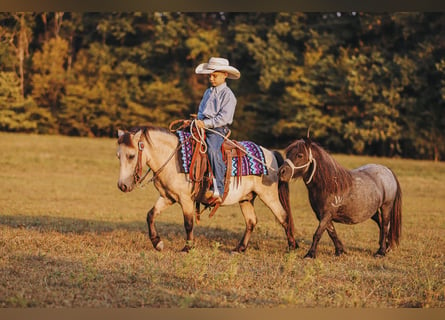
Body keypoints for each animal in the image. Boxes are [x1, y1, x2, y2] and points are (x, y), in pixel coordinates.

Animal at [116, 125, 296, 252]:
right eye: (118, 156)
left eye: (131, 155)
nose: (122, 185)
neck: (173, 158)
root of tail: (270, 153)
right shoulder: (168, 197)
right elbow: (150, 215)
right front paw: (157, 243)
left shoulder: (186, 199)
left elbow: (188, 223)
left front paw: (188, 247)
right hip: (246, 198)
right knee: (251, 221)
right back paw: (240, 248)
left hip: (268, 195)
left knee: (283, 217)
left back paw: (292, 246)